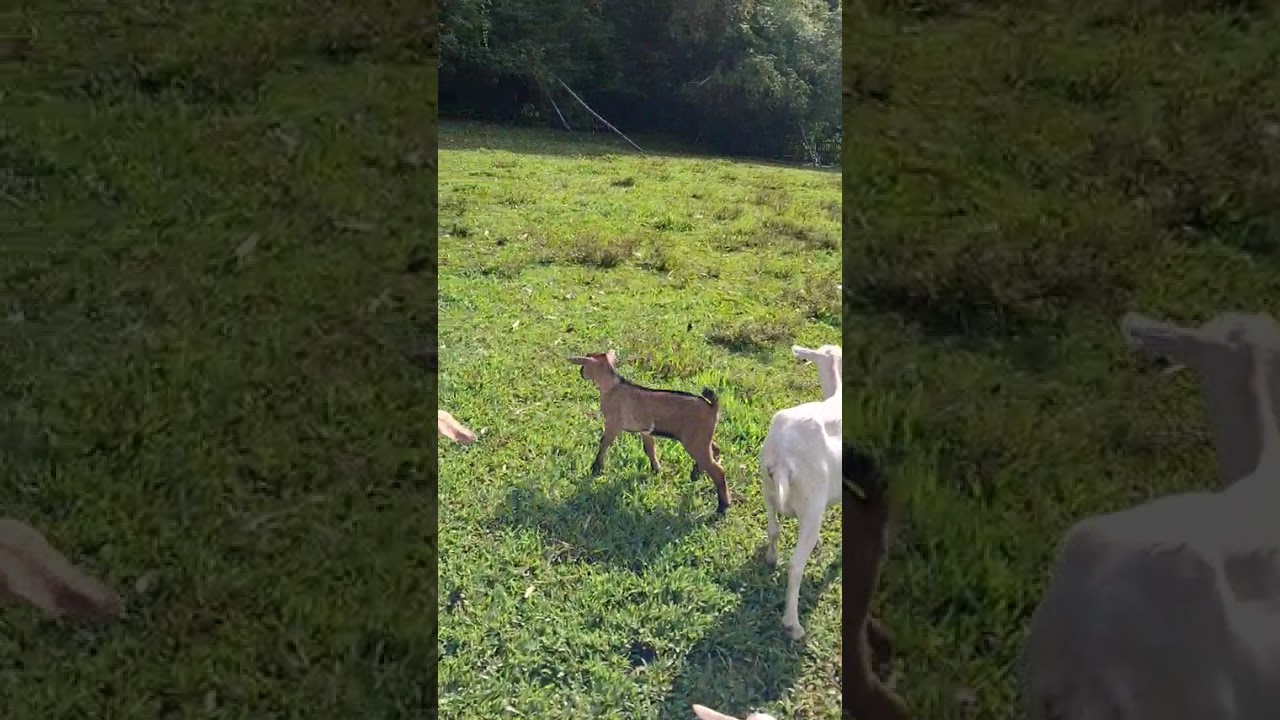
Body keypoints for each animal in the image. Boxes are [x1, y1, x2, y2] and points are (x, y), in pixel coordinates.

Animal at [568, 350, 730, 513]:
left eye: (584, 363)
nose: (581, 373)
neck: (612, 387)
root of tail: (712, 407)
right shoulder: (645, 431)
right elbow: (650, 449)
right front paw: (656, 470)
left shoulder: (613, 424)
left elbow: (604, 444)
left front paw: (596, 469)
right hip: (702, 437)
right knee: (715, 449)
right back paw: (696, 474)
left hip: (695, 441)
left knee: (718, 470)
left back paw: (722, 507)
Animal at [758, 344, 841, 640]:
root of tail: (784, 458)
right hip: (812, 504)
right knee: (795, 567)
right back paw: (792, 624)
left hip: (767, 487)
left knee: (773, 528)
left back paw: (771, 558)